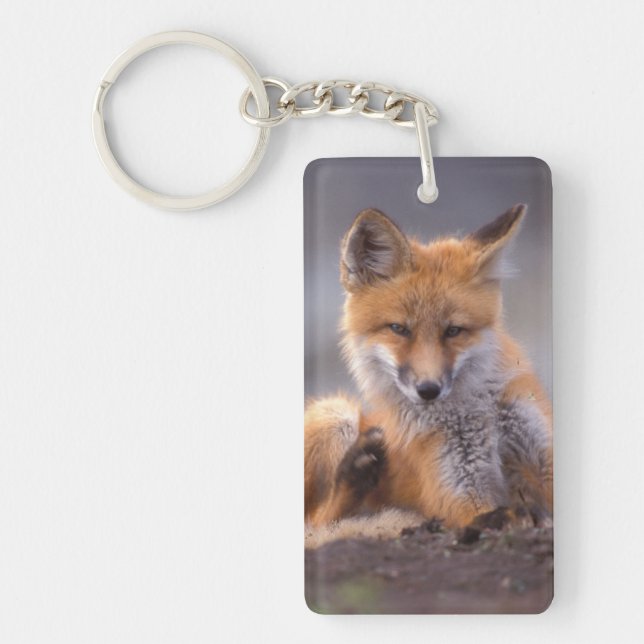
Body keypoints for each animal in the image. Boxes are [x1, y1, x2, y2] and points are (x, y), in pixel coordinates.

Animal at [304, 204, 552, 532]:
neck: (477, 412)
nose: (428, 390)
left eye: (453, 331)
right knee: (318, 520)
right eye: (399, 329)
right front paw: (515, 515)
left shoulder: (541, 450)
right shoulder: (457, 490)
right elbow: (486, 514)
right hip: (334, 413)